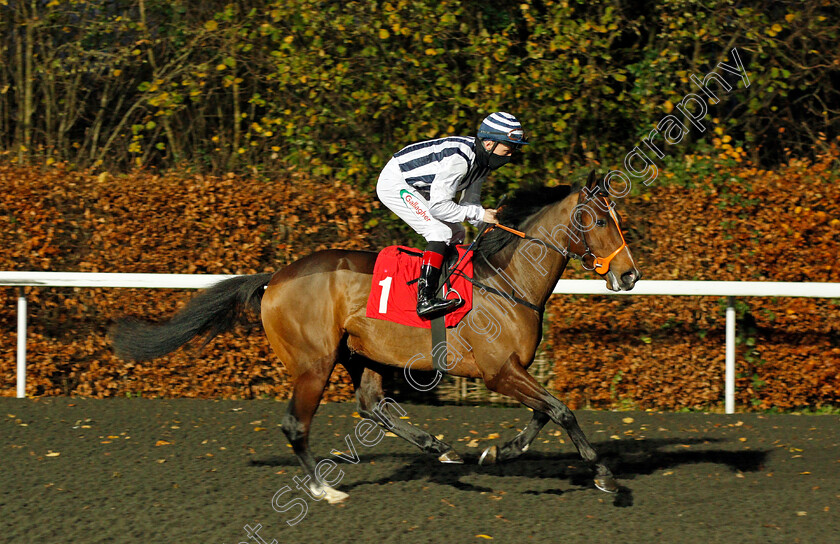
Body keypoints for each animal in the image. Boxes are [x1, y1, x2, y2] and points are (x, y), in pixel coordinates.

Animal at [108, 172, 640, 504]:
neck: (508, 281)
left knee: (369, 405)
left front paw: (500, 451)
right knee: (296, 424)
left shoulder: (513, 370)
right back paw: (324, 489)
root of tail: (274, 279)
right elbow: (561, 410)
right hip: (315, 362)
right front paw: (605, 477)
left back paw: (436, 446)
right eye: (598, 220)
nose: (630, 275)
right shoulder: (498, 371)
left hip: (361, 354)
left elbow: (544, 412)